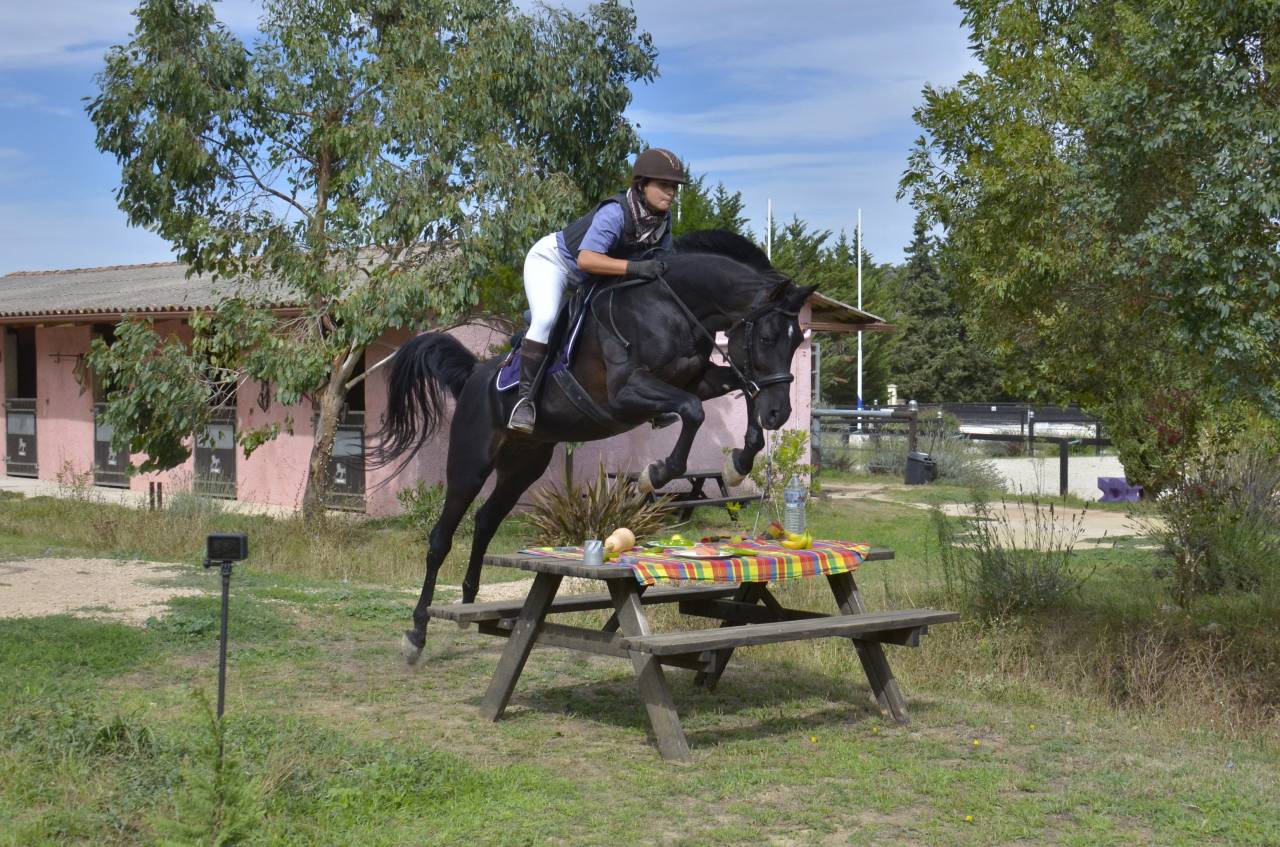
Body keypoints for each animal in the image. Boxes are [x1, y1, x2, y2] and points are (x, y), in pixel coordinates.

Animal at [372, 230, 817, 663]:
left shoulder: (700, 378)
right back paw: (416, 633)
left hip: (523, 465)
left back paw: (468, 604)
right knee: (441, 537)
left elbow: (739, 388)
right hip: (471, 463)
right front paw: (657, 473)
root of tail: (474, 378)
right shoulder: (625, 393)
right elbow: (693, 410)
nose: (780, 413)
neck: (673, 308)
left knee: (485, 521)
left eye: (797, 341)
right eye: (766, 337)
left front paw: (738, 462)